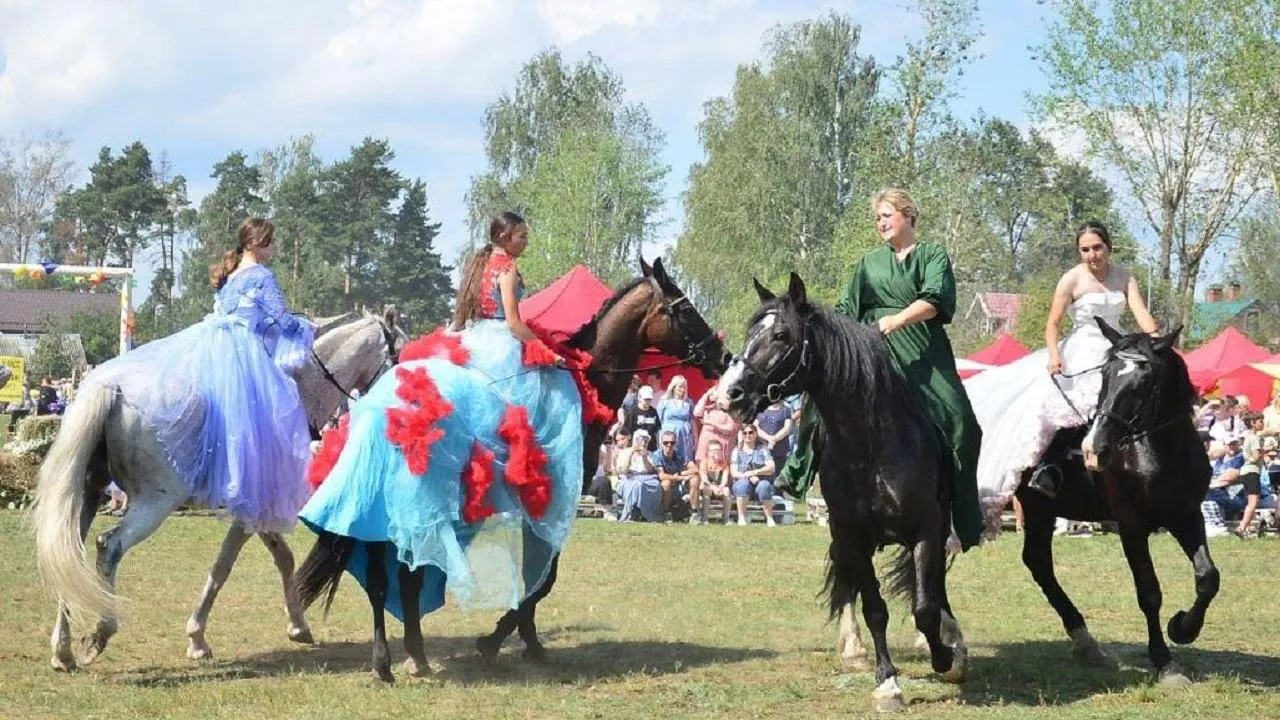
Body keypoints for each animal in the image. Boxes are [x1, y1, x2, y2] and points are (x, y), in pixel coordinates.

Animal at [30, 307, 401, 666]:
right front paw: (197, 638)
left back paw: (62, 651)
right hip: (155, 502)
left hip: (89, 492)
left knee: (68, 551)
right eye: (399, 357)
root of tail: (113, 388)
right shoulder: (255, 508)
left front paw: (297, 625)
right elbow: (225, 565)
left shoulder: (258, 508)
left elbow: (282, 557)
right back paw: (100, 633)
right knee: (109, 546)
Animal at [293, 257, 727, 676]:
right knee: (398, 577)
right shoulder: (554, 502)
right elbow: (543, 578)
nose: (723, 357)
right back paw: (397, 659)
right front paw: (503, 640)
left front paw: (519, 639)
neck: (583, 383)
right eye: (685, 308)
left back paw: (401, 658)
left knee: (393, 577)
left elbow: (536, 576)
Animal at [721, 271, 962, 707]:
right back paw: (853, 647)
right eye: (751, 333)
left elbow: (926, 606)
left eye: (781, 334)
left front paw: (944, 656)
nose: (730, 394)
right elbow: (875, 608)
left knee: (933, 587)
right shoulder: (852, 534)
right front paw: (887, 682)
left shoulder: (927, 528)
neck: (871, 447)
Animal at [1013, 317, 1213, 681]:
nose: (1095, 449)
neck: (1161, 451)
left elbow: (1207, 578)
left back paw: (1085, 640)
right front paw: (1164, 661)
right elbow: (1149, 592)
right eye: (1105, 374)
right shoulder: (1131, 525)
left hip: (1040, 508)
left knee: (1038, 562)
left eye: (1145, 381)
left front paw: (1183, 628)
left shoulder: (1187, 515)